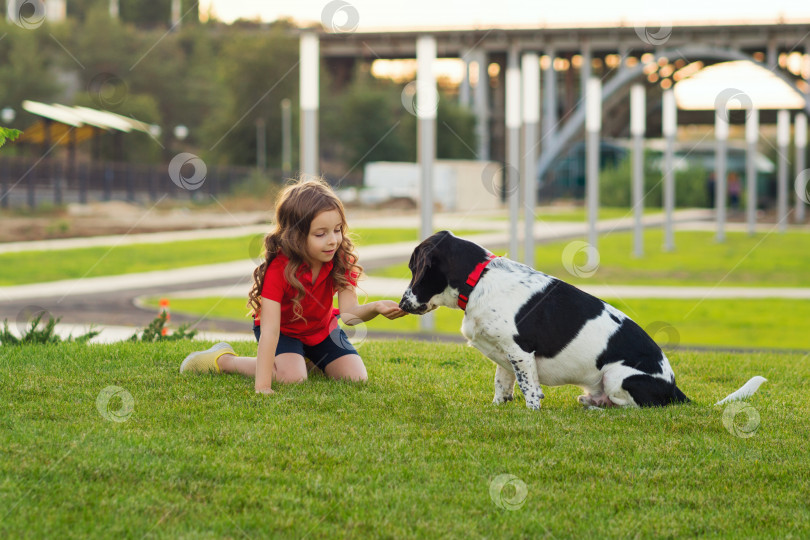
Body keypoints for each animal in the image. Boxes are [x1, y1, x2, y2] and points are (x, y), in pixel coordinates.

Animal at [400, 230, 760, 412]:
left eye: (413, 267)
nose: (402, 303)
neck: (480, 280)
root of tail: (674, 388)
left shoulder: (521, 353)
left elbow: (530, 390)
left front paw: (532, 414)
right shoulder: (504, 356)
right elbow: (502, 386)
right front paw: (499, 407)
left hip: (617, 376)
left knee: (633, 408)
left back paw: (598, 407)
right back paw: (591, 400)